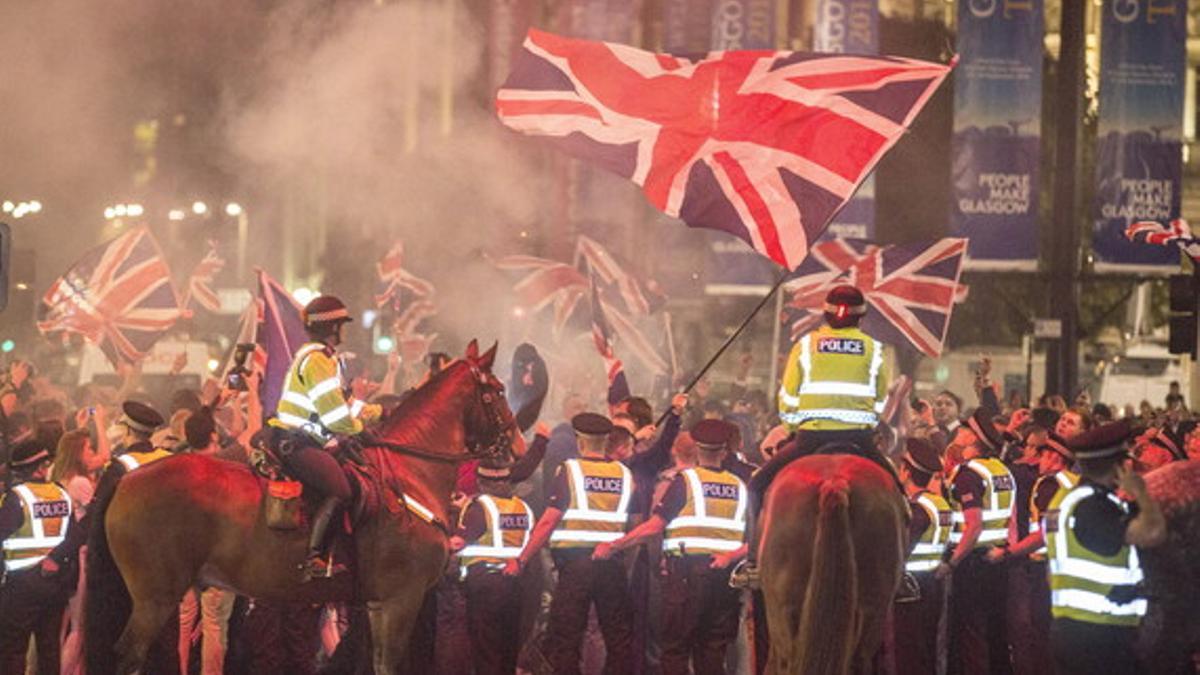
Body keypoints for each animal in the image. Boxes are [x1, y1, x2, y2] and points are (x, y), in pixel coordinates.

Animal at [83, 341, 516, 672]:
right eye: (496, 390)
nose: (515, 444)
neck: (409, 474)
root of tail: (127, 478)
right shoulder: (400, 601)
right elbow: (388, 665)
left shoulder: (379, 606)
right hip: (155, 598)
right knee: (127, 658)